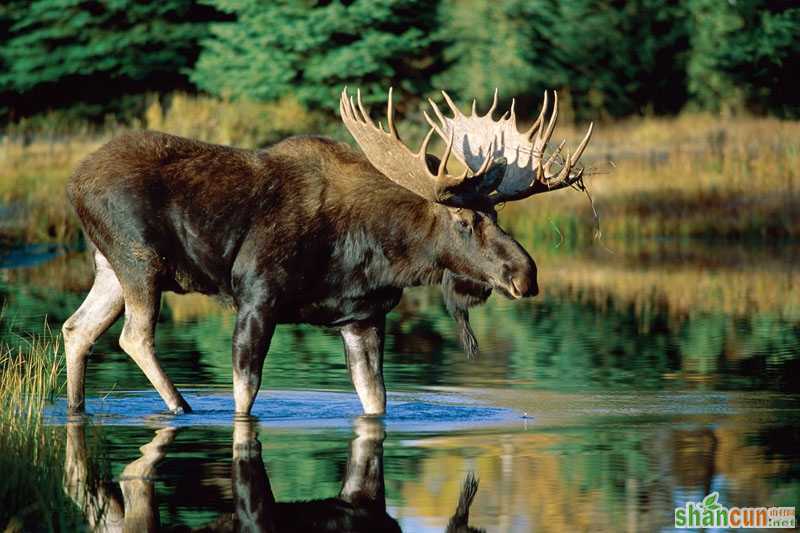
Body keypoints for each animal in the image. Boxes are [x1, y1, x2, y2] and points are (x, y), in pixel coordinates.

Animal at [64, 85, 592, 414]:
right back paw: (181, 407)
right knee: (134, 336)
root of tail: (74, 182)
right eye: (464, 220)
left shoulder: (363, 316)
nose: (525, 275)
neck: (376, 254)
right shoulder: (256, 296)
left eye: (497, 215)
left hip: (110, 266)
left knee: (77, 328)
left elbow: (376, 401)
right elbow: (244, 394)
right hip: (139, 258)